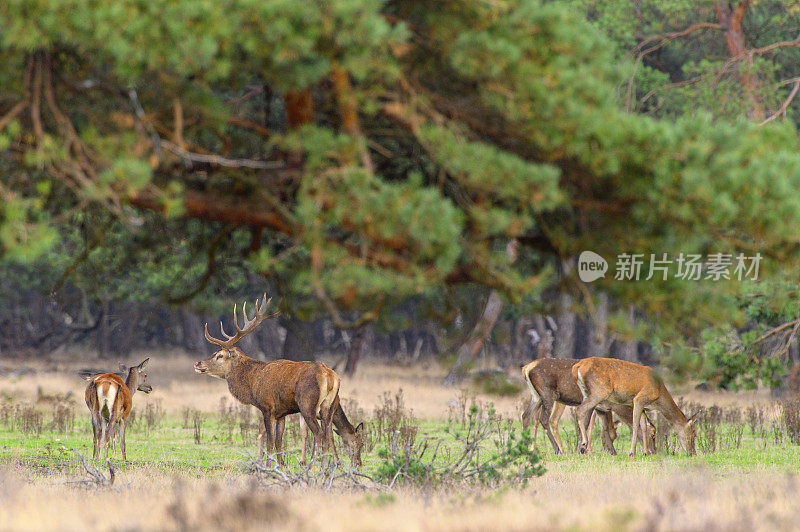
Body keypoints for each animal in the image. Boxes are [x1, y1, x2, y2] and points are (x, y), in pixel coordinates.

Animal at [193, 296, 350, 466]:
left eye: (219, 355)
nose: (198, 364)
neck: (253, 383)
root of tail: (330, 376)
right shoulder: (281, 412)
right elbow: (278, 441)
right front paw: (281, 464)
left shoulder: (267, 407)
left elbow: (269, 440)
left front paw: (268, 466)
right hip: (328, 406)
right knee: (328, 433)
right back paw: (324, 468)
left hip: (307, 403)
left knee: (318, 432)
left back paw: (311, 467)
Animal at [520, 358, 656, 454]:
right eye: (653, 434)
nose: (653, 452)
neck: (617, 405)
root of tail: (526, 368)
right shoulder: (597, 404)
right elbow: (588, 425)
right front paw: (585, 449)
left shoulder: (602, 407)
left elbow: (603, 427)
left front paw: (611, 451)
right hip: (548, 394)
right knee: (544, 418)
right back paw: (557, 449)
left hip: (537, 396)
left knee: (526, 415)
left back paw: (525, 447)